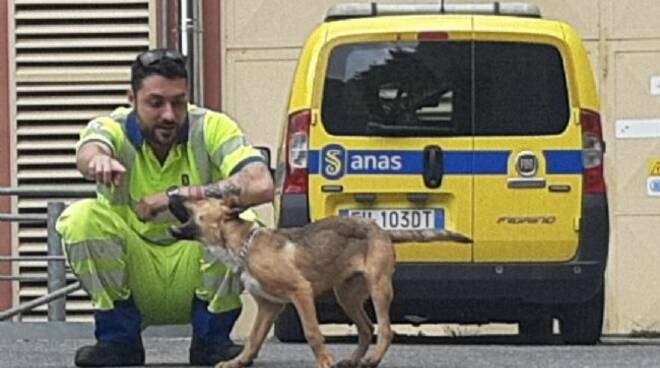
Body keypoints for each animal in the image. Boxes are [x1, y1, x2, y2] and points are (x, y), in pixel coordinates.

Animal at [170, 197, 470, 368]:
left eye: (198, 197)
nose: (172, 192)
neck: (245, 245)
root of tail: (382, 230)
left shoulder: (300, 292)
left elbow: (312, 332)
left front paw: (324, 361)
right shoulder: (268, 306)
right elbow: (254, 338)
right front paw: (238, 362)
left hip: (379, 287)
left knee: (385, 329)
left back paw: (372, 360)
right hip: (347, 295)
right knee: (366, 327)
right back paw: (353, 360)